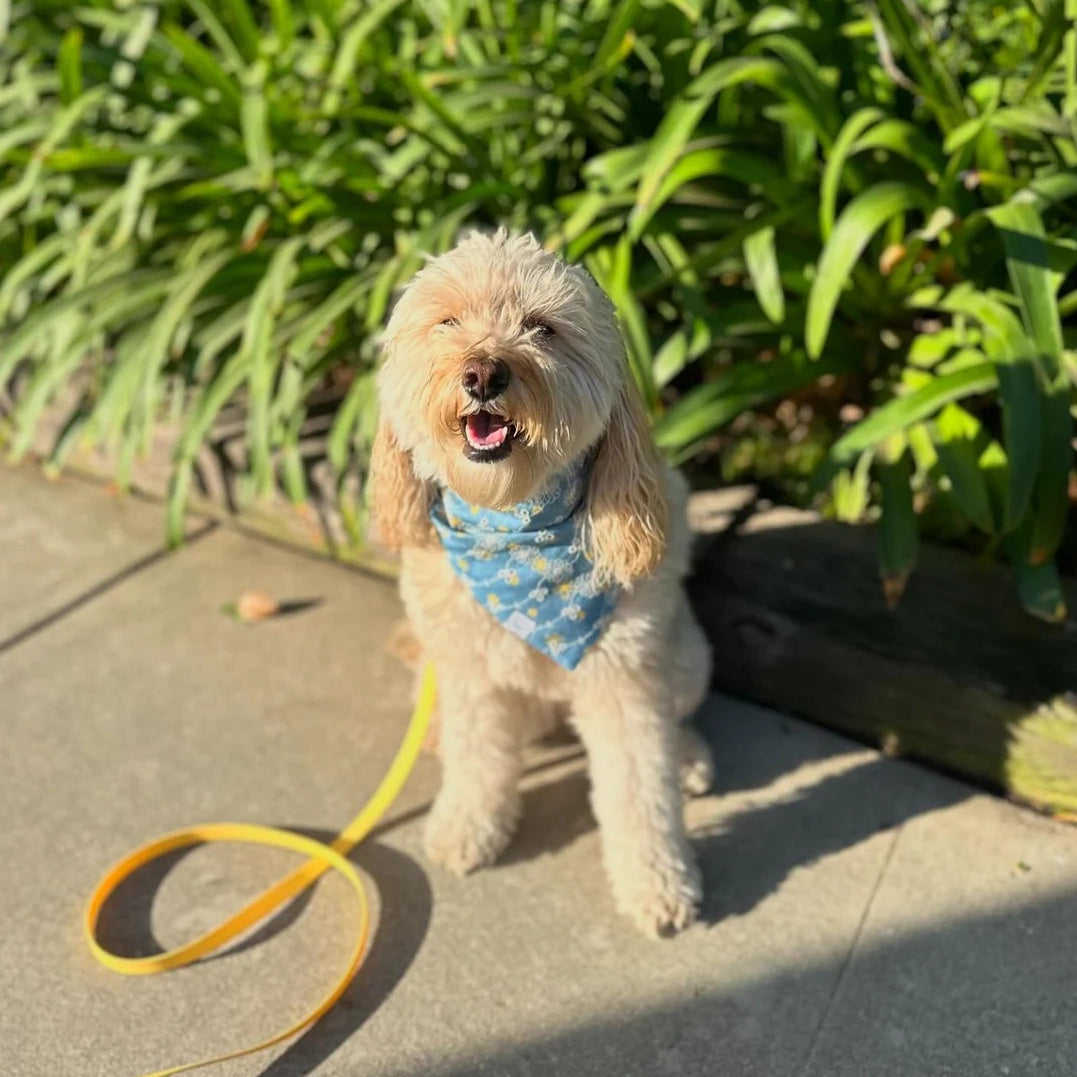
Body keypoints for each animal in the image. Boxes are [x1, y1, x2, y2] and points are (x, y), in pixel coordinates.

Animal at [370, 229, 715, 934]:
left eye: (543, 329)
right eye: (447, 322)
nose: (483, 373)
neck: (513, 525)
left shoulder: (621, 679)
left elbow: (641, 789)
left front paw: (657, 882)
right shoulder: (470, 675)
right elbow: (477, 758)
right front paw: (467, 827)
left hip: (686, 655)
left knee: (677, 716)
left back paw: (688, 756)